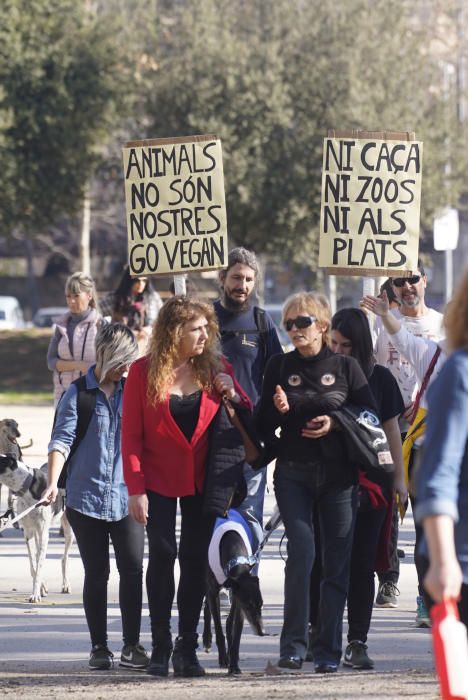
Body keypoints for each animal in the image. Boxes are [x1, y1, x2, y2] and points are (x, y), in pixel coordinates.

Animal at [0, 454, 73, 600]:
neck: (27, 486)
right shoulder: (28, 533)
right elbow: (34, 565)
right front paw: (40, 588)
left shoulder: (44, 533)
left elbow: (39, 566)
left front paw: (35, 594)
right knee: (39, 554)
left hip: (68, 530)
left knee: (64, 558)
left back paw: (65, 584)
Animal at [204, 512, 266, 676]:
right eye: (249, 605)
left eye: (261, 605)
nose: (262, 632)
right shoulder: (215, 590)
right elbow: (218, 628)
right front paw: (224, 659)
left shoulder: (238, 598)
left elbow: (236, 630)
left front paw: (234, 664)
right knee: (207, 606)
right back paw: (207, 639)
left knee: (228, 620)